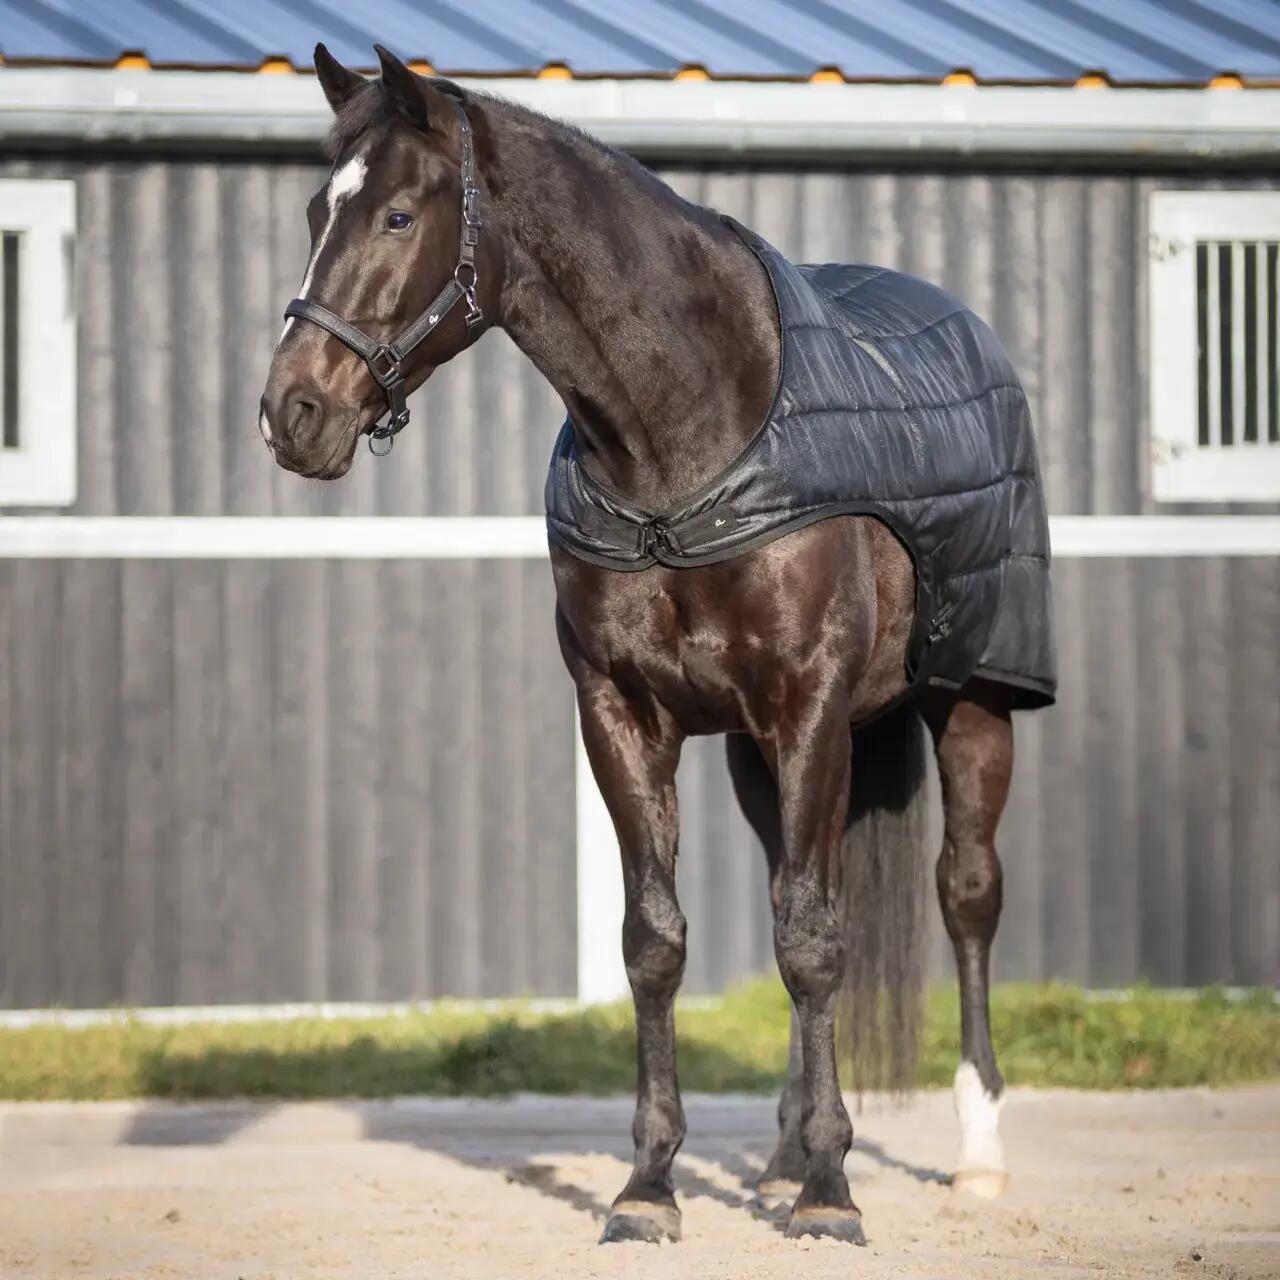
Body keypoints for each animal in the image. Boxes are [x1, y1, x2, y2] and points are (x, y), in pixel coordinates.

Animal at [259, 43, 1056, 1246]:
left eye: (397, 213)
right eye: (317, 210)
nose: (291, 412)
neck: (685, 445)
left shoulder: (813, 708)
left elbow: (814, 940)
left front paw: (832, 1195)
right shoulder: (626, 715)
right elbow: (659, 941)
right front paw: (650, 1184)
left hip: (972, 703)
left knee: (965, 895)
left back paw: (976, 1154)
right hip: (758, 758)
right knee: (792, 888)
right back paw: (779, 1155)